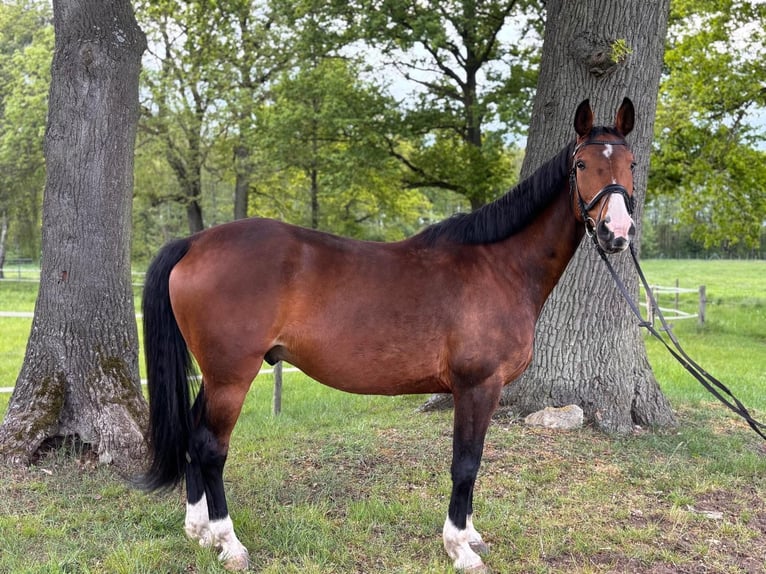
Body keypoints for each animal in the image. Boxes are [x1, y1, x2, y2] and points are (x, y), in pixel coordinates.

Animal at [139, 97, 637, 572]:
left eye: (631, 163)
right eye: (581, 165)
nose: (616, 232)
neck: (499, 267)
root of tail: (194, 242)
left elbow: (472, 460)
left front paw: (471, 535)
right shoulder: (478, 386)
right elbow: (466, 463)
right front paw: (460, 549)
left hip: (217, 376)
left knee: (193, 436)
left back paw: (199, 532)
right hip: (232, 377)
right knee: (210, 448)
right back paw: (230, 544)